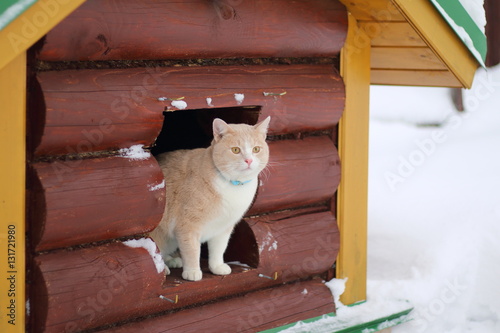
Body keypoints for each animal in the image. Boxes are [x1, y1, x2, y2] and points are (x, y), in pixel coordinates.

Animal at [151, 116, 272, 280]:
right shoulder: (188, 226)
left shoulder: (223, 227)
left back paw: (172, 260)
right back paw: (163, 268)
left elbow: (219, 249)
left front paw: (217, 267)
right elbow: (192, 250)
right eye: (236, 150)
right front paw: (193, 271)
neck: (233, 185)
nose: (249, 160)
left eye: (256, 149)